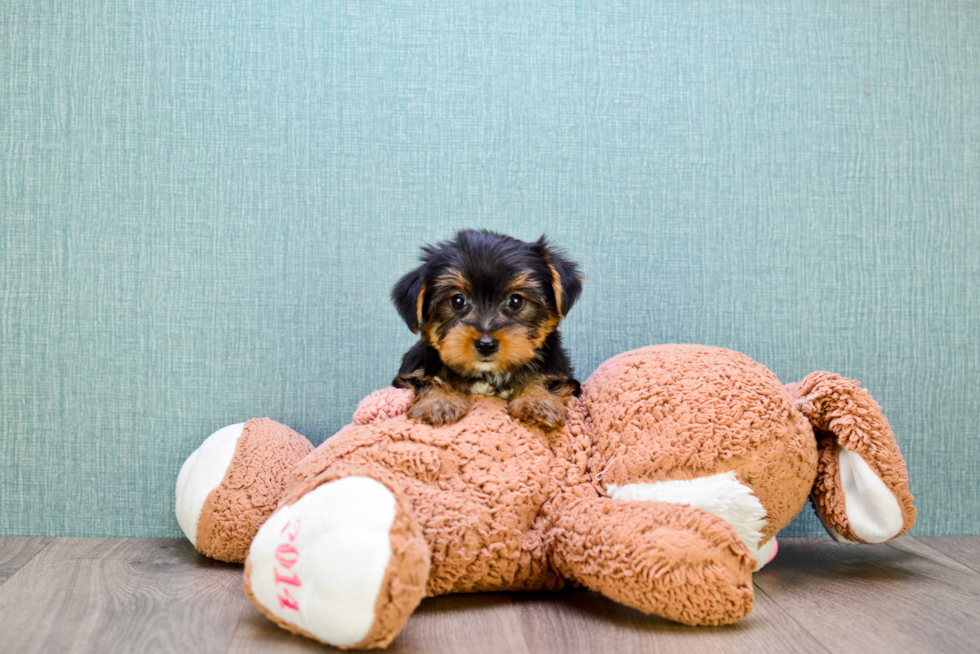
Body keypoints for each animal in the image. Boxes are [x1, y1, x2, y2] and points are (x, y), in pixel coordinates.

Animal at [388, 228, 580, 434]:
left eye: (516, 301)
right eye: (457, 301)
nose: (486, 344)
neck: (487, 374)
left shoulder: (559, 372)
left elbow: (544, 378)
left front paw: (538, 401)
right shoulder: (413, 371)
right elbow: (426, 379)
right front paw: (439, 401)